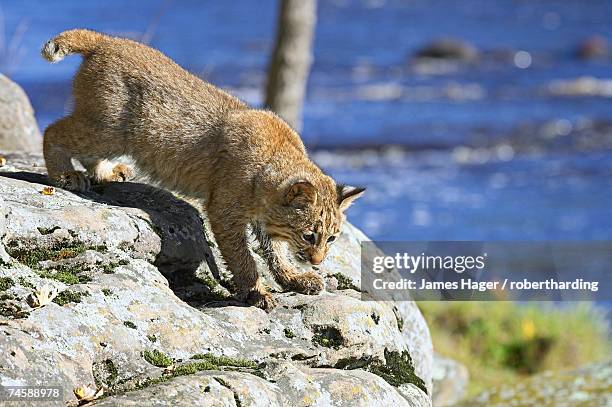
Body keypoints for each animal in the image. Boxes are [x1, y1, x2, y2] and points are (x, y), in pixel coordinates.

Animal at [41, 29, 364, 310]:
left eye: (332, 238)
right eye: (309, 235)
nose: (317, 261)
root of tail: (107, 39)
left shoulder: (259, 218)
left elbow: (276, 251)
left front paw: (293, 278)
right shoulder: (223, 211)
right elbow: (242, 256)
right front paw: (256, 292)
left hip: (112, 134)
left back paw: (105, 172)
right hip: (110, 129)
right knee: (52, 130)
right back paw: (66, 175)